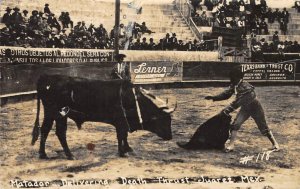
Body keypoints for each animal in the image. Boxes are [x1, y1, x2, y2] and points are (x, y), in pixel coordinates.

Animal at [31, 74, 175, 159]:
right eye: (163, 121)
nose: (170, 137)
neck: (131, 98)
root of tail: (46, 77)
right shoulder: (120, 121)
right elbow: (121, 135)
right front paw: (122, 152)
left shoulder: (123, 122)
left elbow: (124, 136)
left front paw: (128, 148)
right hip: (58, 114)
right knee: (60, 132)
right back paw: (69, 155)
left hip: (51, 114)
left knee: (45, 130)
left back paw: (43, 154)